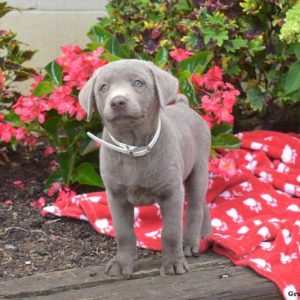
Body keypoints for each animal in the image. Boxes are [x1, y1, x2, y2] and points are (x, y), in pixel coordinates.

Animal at [78, 58, 212, 276]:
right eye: (103, 87)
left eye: (138, 83)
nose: (117, 102)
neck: (133, 147)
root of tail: (183, 105)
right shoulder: (115, 196)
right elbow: (123, 233)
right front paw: (122, 263)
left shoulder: (171, 193)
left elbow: (171, 232)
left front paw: (173, 263)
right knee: (202, 203)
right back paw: (206, 235)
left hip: (199, 169)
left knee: (195, 206)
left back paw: (191, 243)